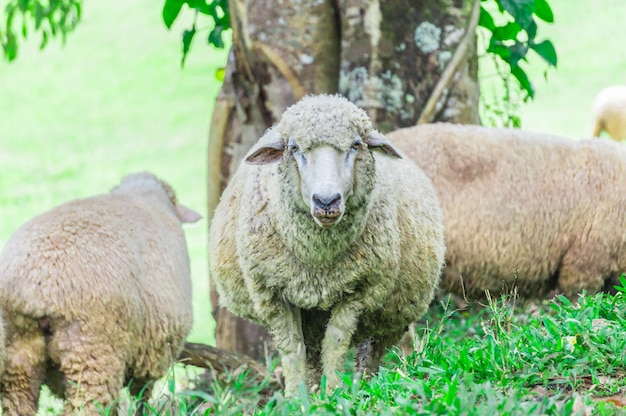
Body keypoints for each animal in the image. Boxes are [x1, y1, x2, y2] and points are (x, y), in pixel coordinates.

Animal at [0, 171, 200, 414]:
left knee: (18, 402)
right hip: (93, 351)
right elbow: (142, 396)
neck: (142, 194)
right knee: (86, 406)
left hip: (19, 352)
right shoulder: (154, 352)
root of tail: (35, 282)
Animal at [210, 94, 444, 396]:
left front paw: (335, 393)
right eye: (294, 148)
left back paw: (362, 384)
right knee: (311, 353)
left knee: (372, 352)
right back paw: (313, 389)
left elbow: (335, 342)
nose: (326, 201)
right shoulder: (273, 294)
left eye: (356, 145)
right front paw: (297, 397)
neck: (318, 262)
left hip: (394, 311)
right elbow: (293, 350)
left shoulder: (359, 291)